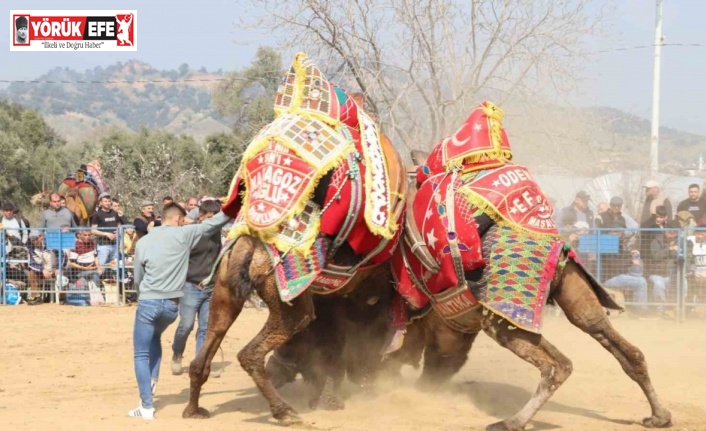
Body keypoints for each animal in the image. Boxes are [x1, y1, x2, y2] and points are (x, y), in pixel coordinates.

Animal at [182, 53, 408, 422]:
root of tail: (252, 248)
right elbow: (340, 345)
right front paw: (335, 395)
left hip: (224, 290)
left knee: (204, 352)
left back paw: (193, 409)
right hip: (287, 301)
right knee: (252, 352)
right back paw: (285, 411)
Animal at [382, 228, 672, 430]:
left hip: (504, 318)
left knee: (556, 365)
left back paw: (510, 422)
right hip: (577, 295)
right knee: (626, 351)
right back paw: (660, 416)